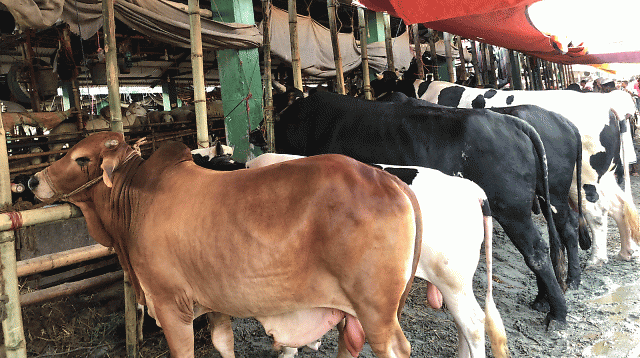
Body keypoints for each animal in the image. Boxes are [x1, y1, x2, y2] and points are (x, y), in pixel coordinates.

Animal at [27, 131, 422, 358]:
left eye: (81, 159)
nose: (32, 181)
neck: (135, 199)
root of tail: (391, 182)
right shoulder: (213, 302)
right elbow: (222, 343)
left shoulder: (170, 305)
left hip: (376, 313)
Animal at [420, 80, 640, 266]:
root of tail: (606, 102)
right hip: (606, 175)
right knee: (619, 206)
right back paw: (625, 252)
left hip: (586, 178)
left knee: (597, 212)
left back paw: (596, 259)